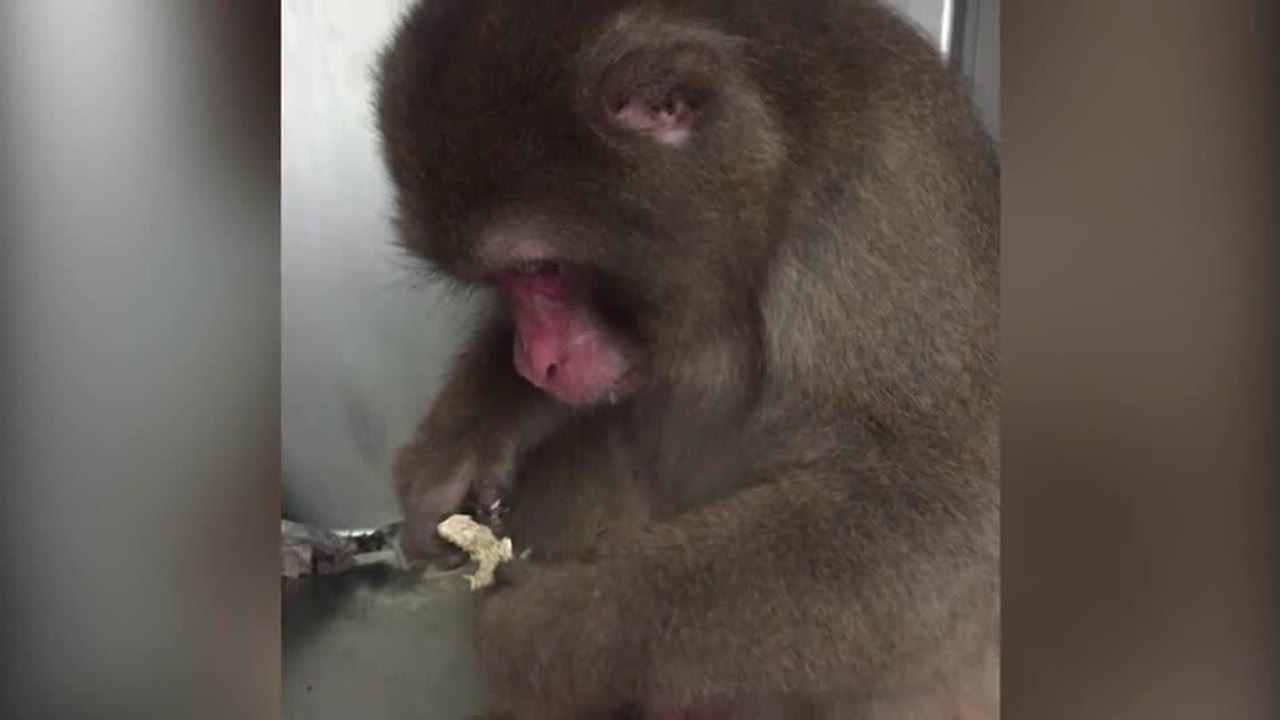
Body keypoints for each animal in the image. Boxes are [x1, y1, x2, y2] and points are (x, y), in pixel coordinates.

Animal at [375, 0, 999, 718]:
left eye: (541, 269)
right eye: (507, 281)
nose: (535, 361)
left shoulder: (881, 211)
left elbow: (942, 517)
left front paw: (555, 629)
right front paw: (464, 446)